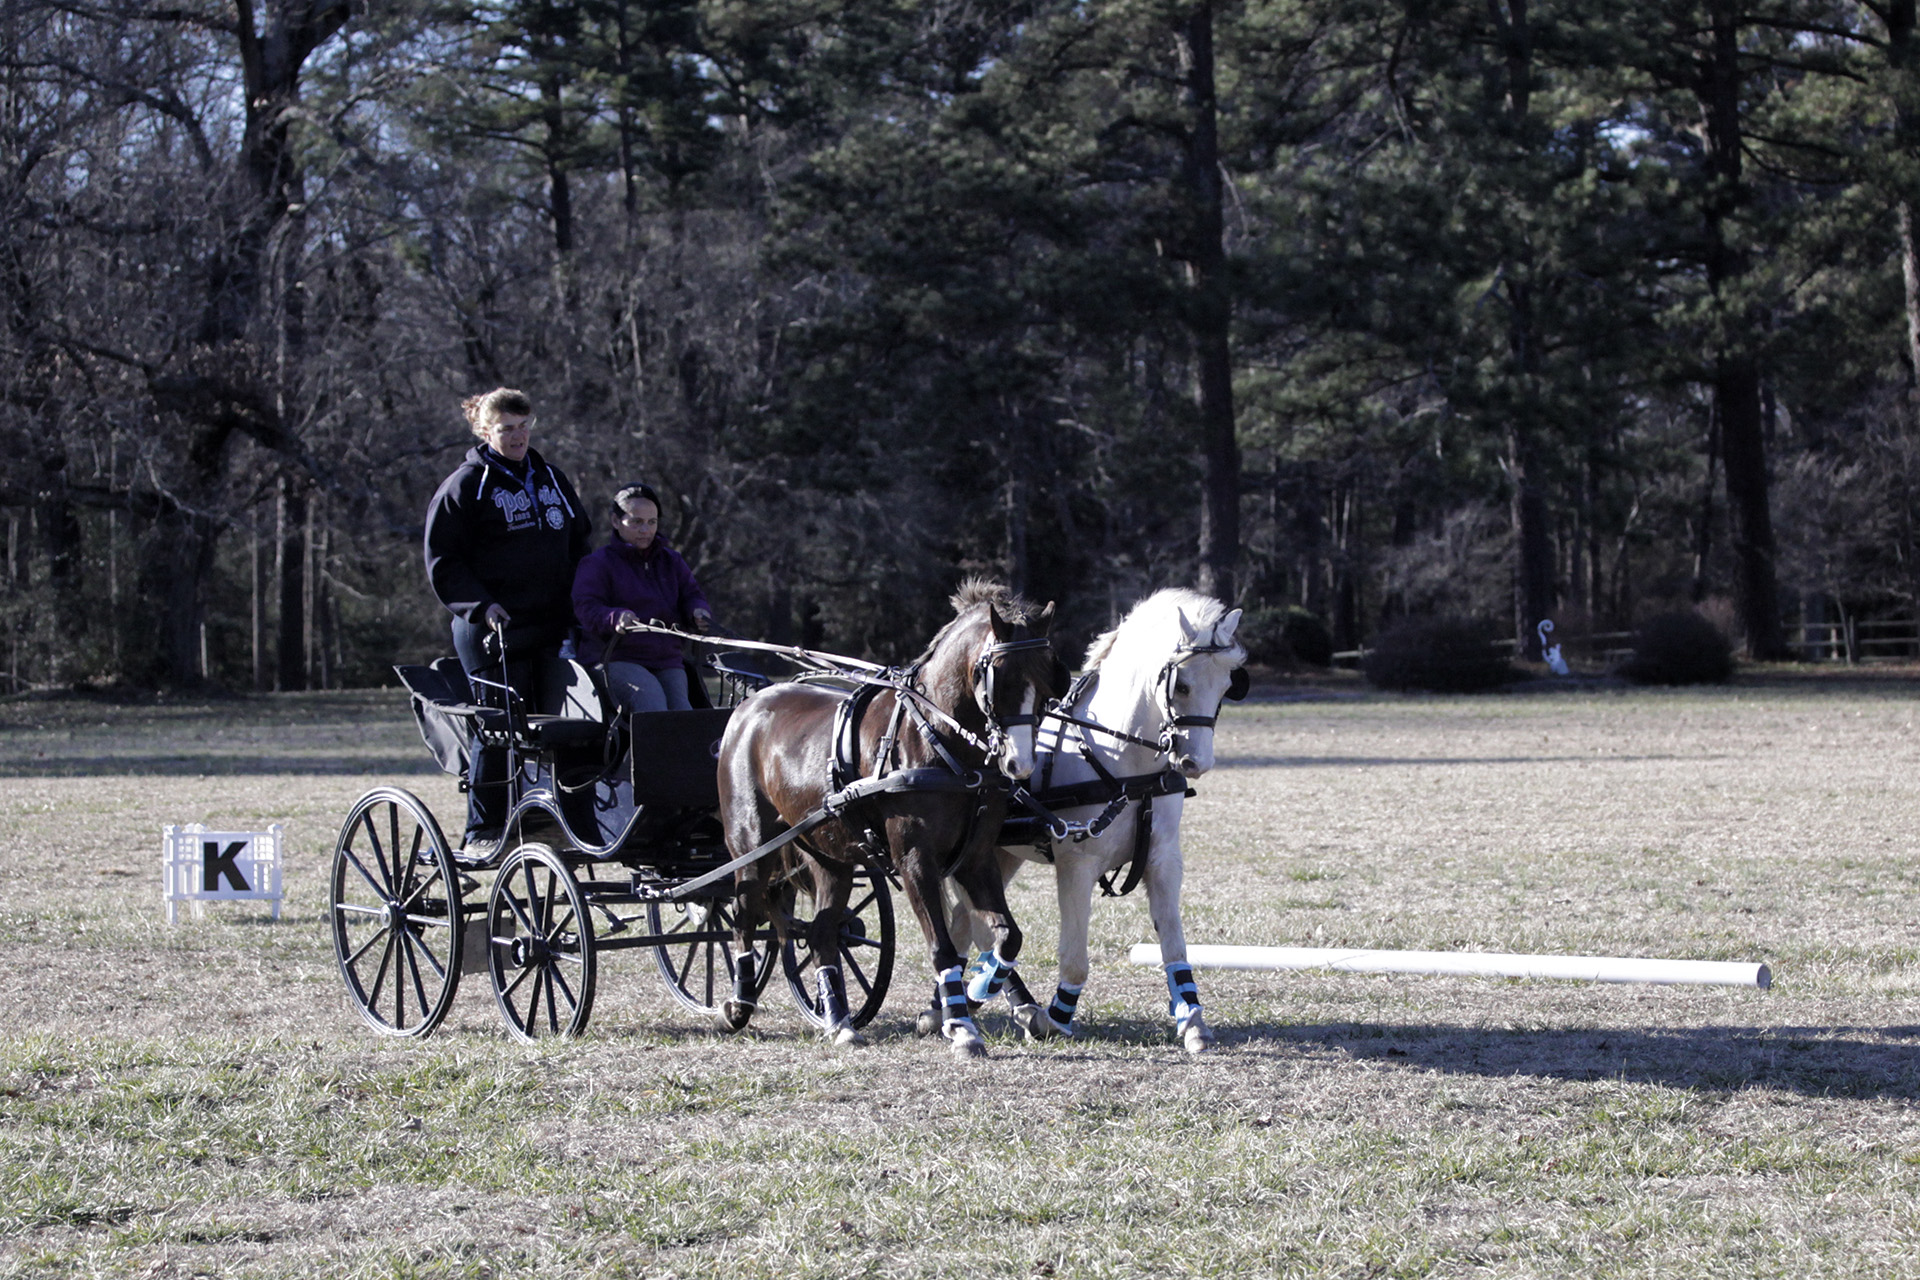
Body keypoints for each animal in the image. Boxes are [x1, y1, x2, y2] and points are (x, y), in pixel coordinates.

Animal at [715, 582, 1060, 1056]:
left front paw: (981, 991)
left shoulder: (976, 859)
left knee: (821, 934)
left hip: (830, 857)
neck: (939, 742)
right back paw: (738, 1005)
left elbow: (1008, 936)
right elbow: (942, 948)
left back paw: (838, 1021)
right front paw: (960, 1025)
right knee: (745, 911)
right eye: (999, 679)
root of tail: (747, 709)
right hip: (751, 846)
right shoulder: (915, 860)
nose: (1019, 764)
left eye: (1047, 680)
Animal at [947, 588, 1246, 1054]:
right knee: (972, 927)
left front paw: (1193, 1021)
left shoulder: (1164, 861)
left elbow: (1175, 946)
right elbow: (1074, 959)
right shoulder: (1076, 865)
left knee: (964, 924)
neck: (1125, 763)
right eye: (1181, 684)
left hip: (1000, 855)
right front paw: (1056, 1019)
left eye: (1227, 685)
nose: (1196, 763)